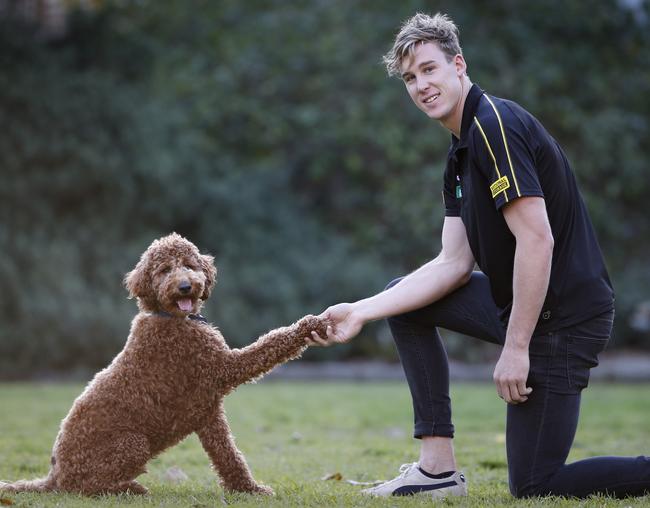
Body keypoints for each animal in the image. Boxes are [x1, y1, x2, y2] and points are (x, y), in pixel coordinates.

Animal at [0, 233, 324, 496]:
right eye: (164, 270)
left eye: (189, 265)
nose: (185, 286)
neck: (168, 317)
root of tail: (54, 477)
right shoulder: (221, 367)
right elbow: (270, 344)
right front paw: (309, 325)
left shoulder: (209, 414)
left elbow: (229, 456)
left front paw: (248, 489)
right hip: (132, 444)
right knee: (85, 488)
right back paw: (129, 490)